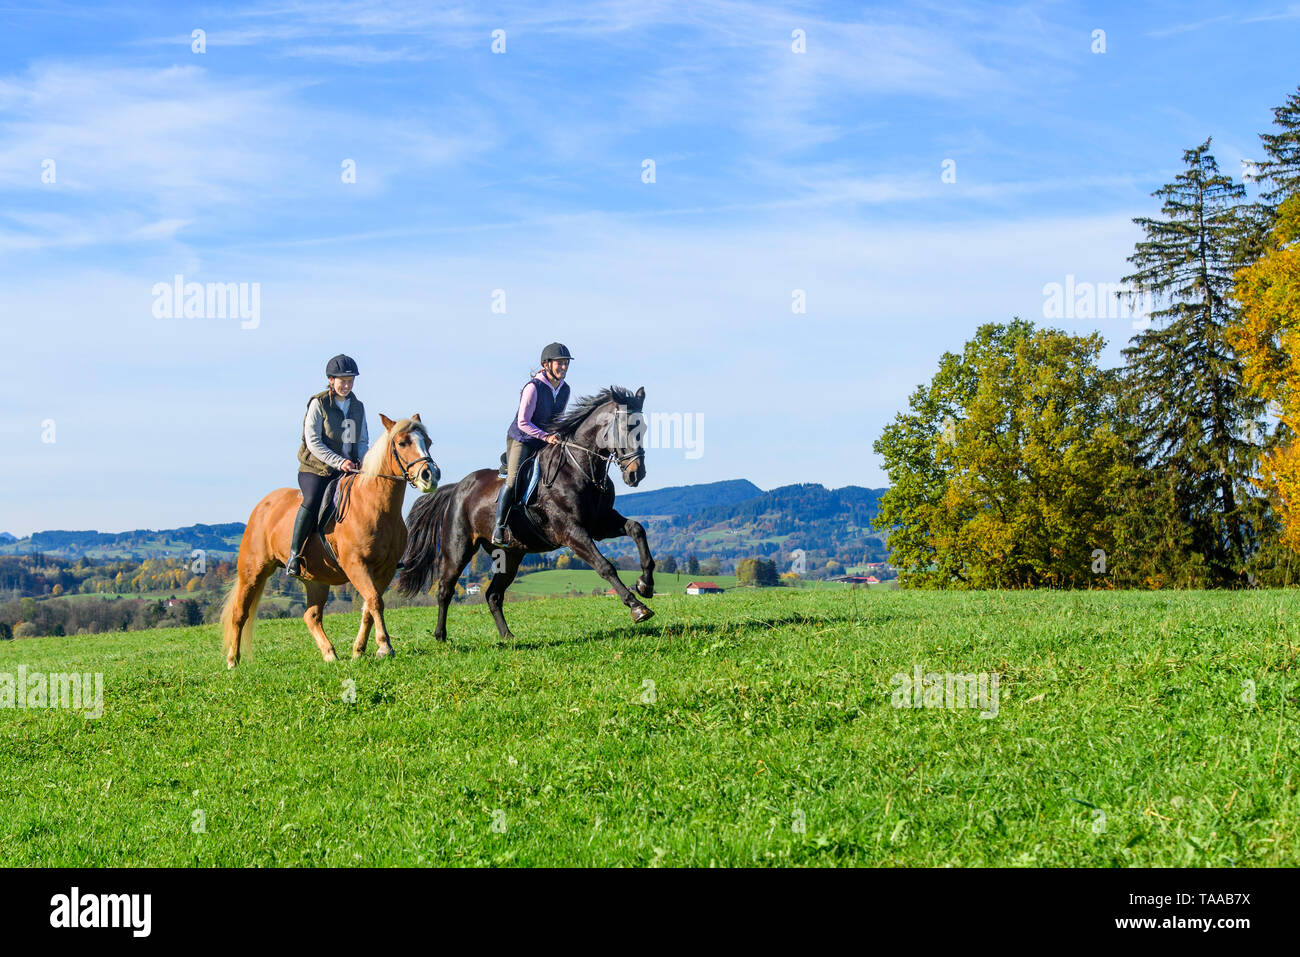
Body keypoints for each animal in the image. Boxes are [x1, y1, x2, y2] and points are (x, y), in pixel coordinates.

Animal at [222, 414, 439, 667]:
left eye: (428, 442)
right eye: (403, 443)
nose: (430, 476)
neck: (376, 506)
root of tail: (262, 506)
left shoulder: (384, 570)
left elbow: (369, 606)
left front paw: (359, 650)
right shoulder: (356, 565)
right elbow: (375, 602)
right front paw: (384, 647)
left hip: (316, 579)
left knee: (311, 616)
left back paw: (329, 653)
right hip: (253, 572)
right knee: (240, 614)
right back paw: (232, 660)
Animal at [396, 386, 656, 641]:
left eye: (643, 427)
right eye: (626, 427)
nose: (637, 474)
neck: (581, 467)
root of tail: (457, 488)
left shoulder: (600, 523)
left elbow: (636, 528)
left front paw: (645, 584)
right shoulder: (572, 533)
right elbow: (605, 566)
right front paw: (637, 607)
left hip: (511, 555)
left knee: (493, 594)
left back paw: (507, 636)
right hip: (458, 549)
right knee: (445, 589)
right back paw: (441, 636)